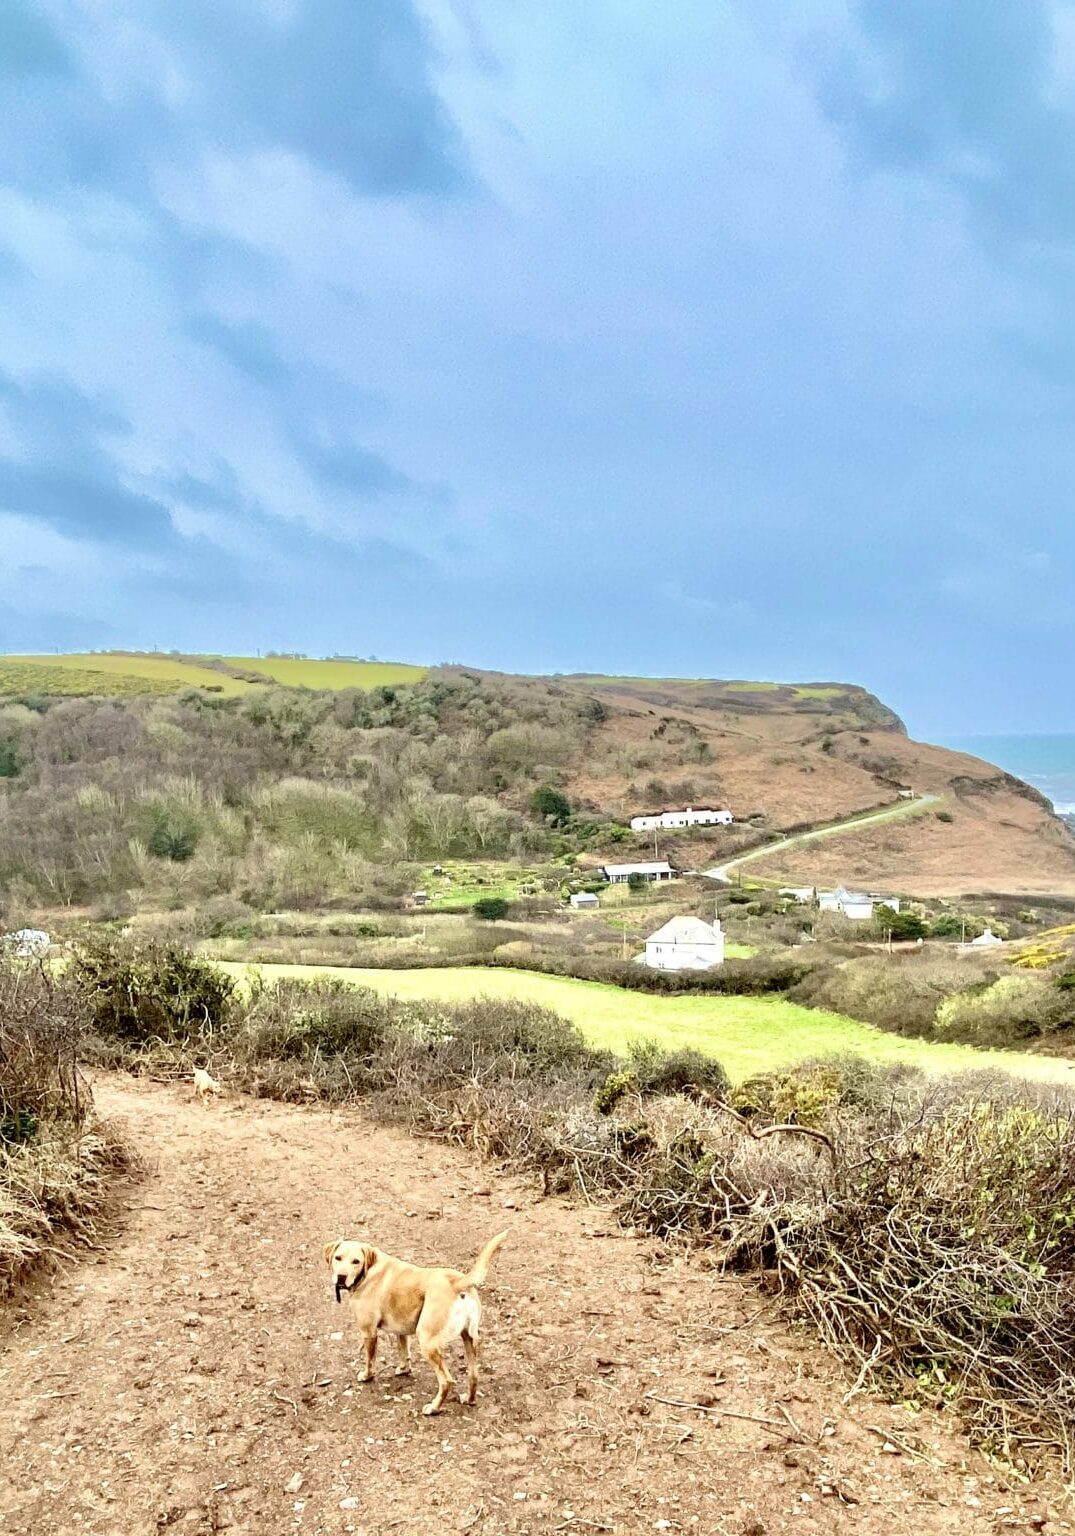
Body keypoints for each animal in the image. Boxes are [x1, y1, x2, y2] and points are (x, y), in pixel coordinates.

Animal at [324, 1222, 506, 1413]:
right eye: (338, 1258)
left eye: (356, 1261)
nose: (341, 1277)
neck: (369, 1271)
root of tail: (457, 1282)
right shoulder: (401, 1328)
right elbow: (403, 1351)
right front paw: (404, 1369)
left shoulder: (369, 1332)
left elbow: (370, 1360)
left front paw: (367, 1376)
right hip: (468, 1339)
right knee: (474, 1375)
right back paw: (469, 1399)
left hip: (427, 1341)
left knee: (446, 1381)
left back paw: (433, 1408)